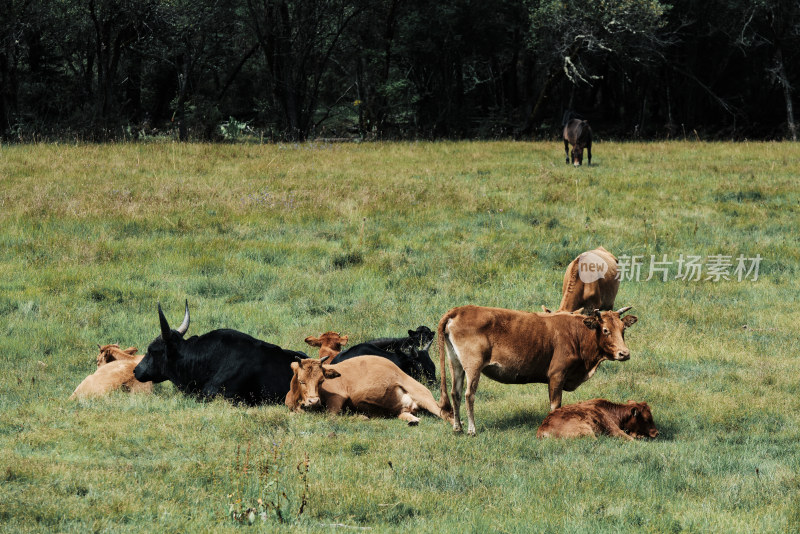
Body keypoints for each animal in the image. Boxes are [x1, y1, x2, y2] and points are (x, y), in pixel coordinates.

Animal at [284, 358, 454, 430]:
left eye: (321, 381)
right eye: (301, 381)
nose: (313, 401)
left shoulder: (337, 398)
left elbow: (331, 417)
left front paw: (360, 417)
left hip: (423, 395)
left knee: (445, 414)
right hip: (400, 410)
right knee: (404, 414)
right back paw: (412, 420)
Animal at [438, 306, 636, 436]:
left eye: (623, 329)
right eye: (605, 330)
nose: (624, 353)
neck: (577, 334)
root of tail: (460, 309)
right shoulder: (557, 375)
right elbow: (555, 404)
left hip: (455, 363)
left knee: (455, 393)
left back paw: (457, 427)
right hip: (473, 365)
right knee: (469, 395)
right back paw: (471, 429)